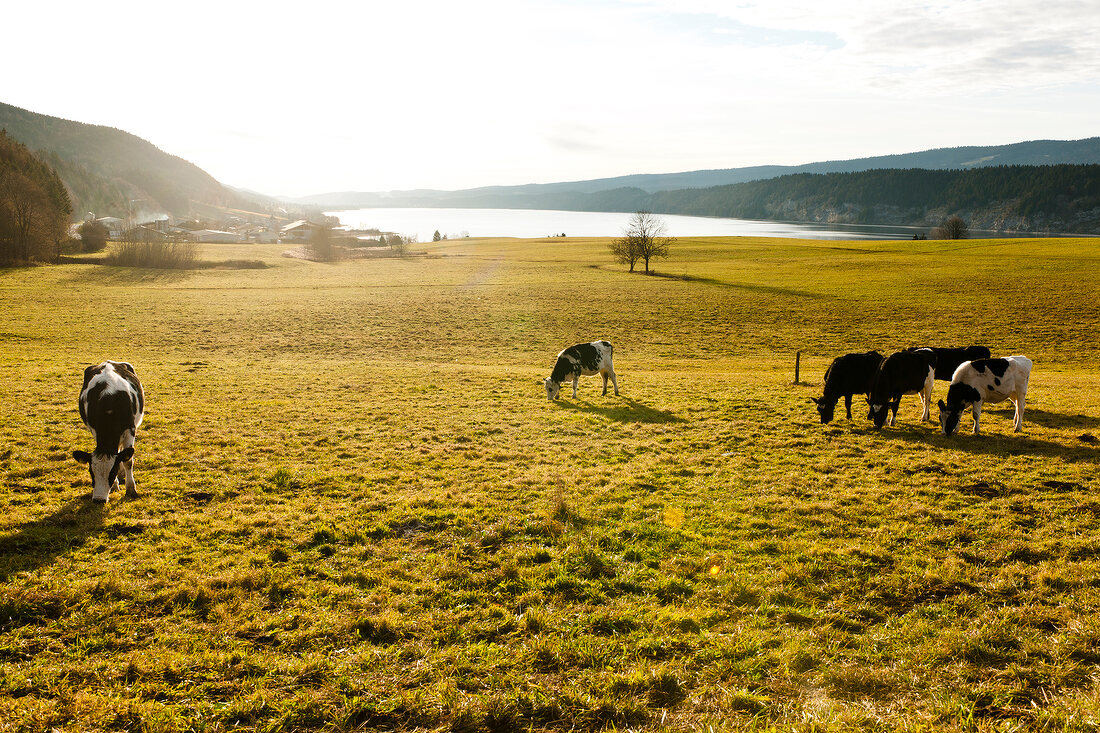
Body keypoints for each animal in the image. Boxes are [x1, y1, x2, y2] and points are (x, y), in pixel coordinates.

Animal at [70, 358, 145, 501]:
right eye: (91, 472)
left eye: (112, 472)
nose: (99, 500)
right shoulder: (95, 430)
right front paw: (115, 485)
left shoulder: (130, 429)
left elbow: (128, 461)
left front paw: (131, 489)